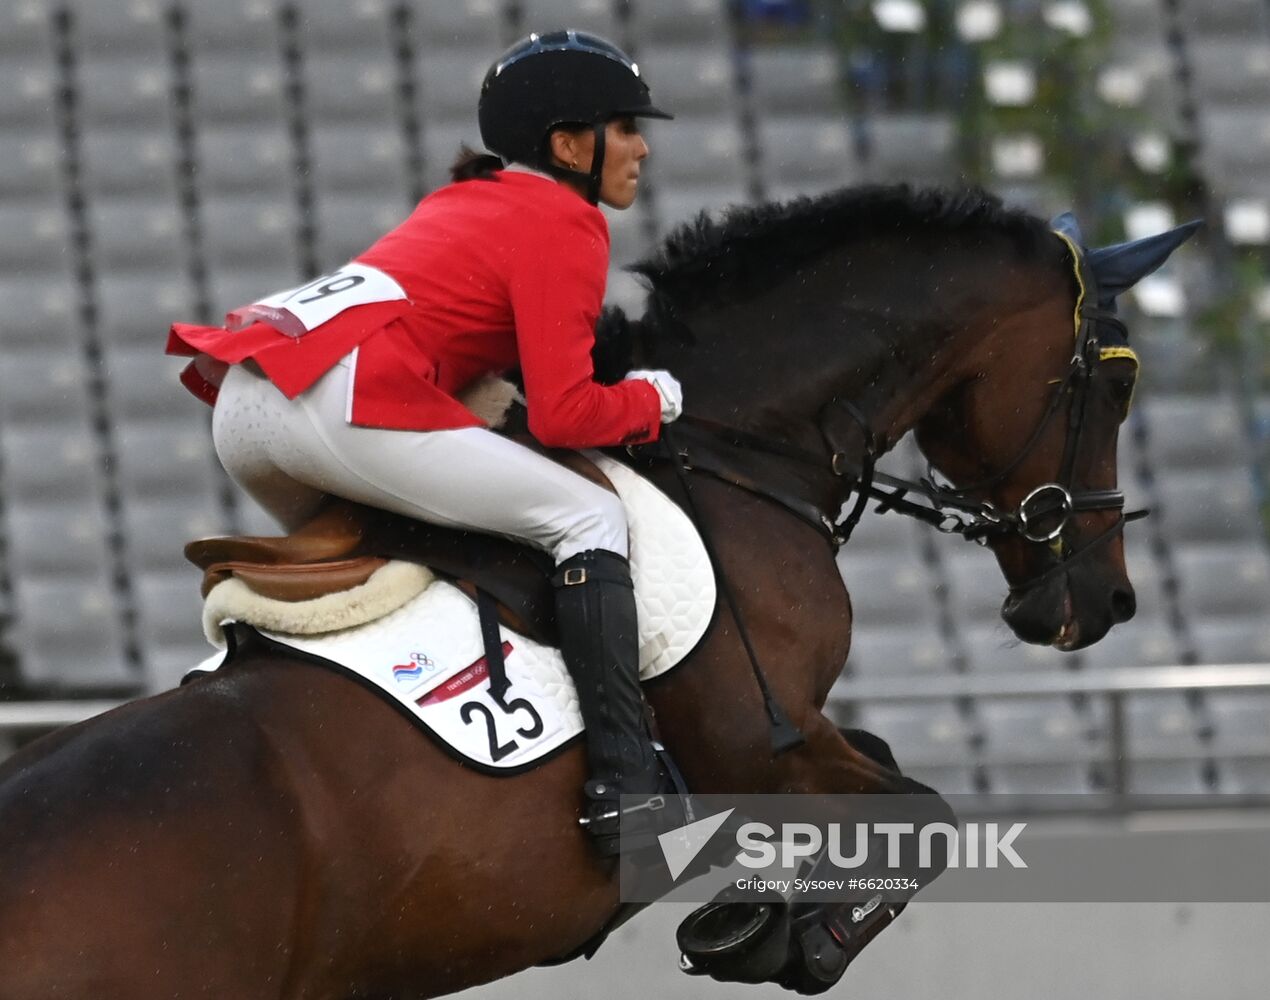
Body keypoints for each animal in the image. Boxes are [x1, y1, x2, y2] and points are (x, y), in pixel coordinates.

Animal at [0, 184, 1193, 996]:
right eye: (1118, 384)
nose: (1101, 603)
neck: (730, 449)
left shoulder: (794, 741)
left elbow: (891, 772)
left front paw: (768, 915)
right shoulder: (754, 740)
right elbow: (926, 815)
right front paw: (797, 936)